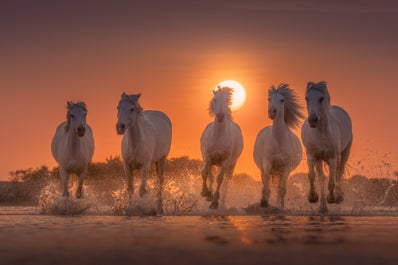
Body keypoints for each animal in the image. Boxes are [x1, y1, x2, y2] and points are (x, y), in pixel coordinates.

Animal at [300, 81, 352, 211]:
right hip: (320, 160)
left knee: (339, 172)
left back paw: (339, 197)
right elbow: (312, 176)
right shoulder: (312, 156)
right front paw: (312, 197)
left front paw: (332, 198)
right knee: (323, 178)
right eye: (307, 98)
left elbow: (332, 181)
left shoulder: (333, 157)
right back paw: (323, 207)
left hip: (344, 153)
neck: (321, 133)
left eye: (321, 98)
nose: (312, 120)